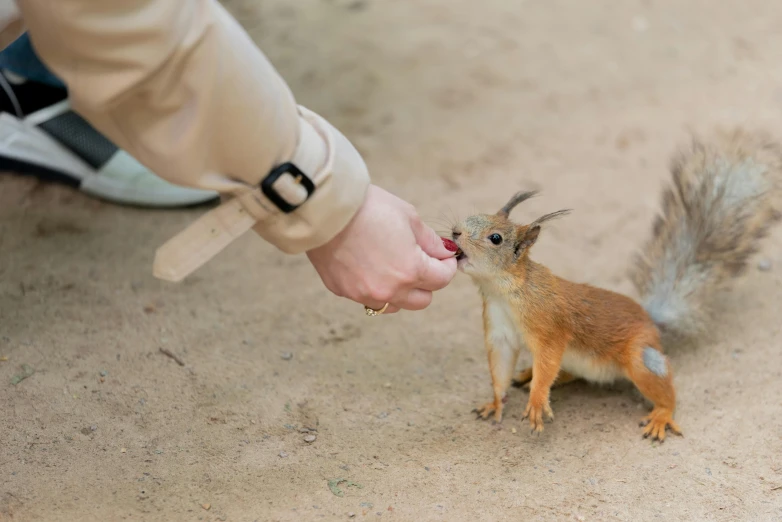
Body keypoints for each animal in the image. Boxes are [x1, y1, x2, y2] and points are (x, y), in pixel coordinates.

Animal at [450, 126, 782, 438]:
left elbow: (548, 360)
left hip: (640, 358)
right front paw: (496, 402)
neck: (504, 290)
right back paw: (528, 373)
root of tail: (651, 322)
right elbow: (500, 368)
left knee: (662, 389)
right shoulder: (500, 331)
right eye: (475, 215)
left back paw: (662, 415)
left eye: (495, 238)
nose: (455, 232)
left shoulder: (549, 326)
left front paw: (536, 401)